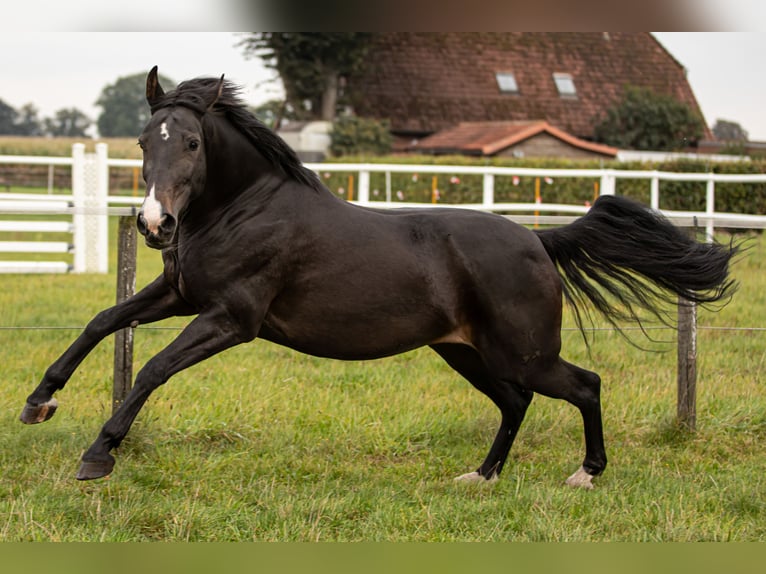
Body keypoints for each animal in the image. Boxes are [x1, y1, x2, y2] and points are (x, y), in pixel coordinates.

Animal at [19, 68, 736, 490]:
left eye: (192, 143)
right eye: (145, 142)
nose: (153, 223)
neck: (243, 207)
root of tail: (538, 238)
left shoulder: (230, 318)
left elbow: (150, 368)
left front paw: (98, 455)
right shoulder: (179, 295)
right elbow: (101, 322)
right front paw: (39, 402)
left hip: (524, 351)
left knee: (584, 386)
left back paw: (586, 474)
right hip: (464, 351)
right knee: (515, 403)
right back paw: (481, 476)